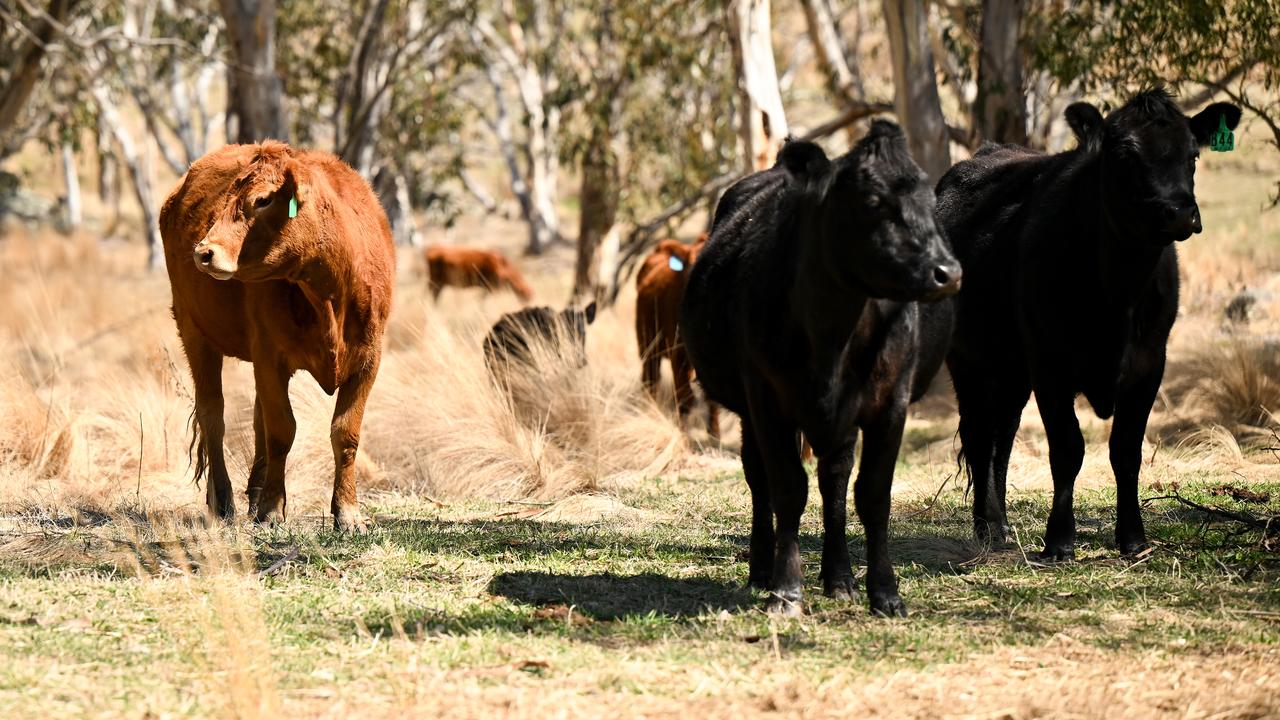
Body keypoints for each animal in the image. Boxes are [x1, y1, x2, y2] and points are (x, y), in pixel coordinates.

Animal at [160, 141, 396, 533]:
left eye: (263, 200)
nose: (203, 251)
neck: (330, 293)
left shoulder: (369, 359)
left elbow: (345, 433)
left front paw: (347, 513)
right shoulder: (271, 356)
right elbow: (281, 431)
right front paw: (272, 509)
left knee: (256, 419)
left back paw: (253, 495)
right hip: (195, 333)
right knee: (213, 416)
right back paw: (222, 501)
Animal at [635, 234, 719, 439]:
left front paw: (715, 435)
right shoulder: (678, 354)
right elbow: (684, 398)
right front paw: (684, 435)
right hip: (648, 346)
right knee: (650, 380)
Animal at [681, 121, 962, 617]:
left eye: (929, 201)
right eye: (872, 201)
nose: (946, 272)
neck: (833, 332)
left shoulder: (891, 402)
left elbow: (872, 494)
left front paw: (884, 592)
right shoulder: (766, 400)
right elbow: (787, 488)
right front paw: (786, 590)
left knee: (835, 478)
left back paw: (839, 578)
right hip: (754, 411)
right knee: (760, 479)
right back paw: (762, 571)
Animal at [932, 89, 1241, 560]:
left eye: (1193, 154)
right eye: (1127, 155)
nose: (1180, 213)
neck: (1118, 293)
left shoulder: (1149, 362)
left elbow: (1126, 450)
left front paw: (1133, 539)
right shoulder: (1050, 364)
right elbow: (1067, 448)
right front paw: (1059, 540)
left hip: (1013, 368)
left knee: (1003, 435)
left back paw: (1002, 526)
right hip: (968, 358)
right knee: (980, 434)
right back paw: (988, 526)